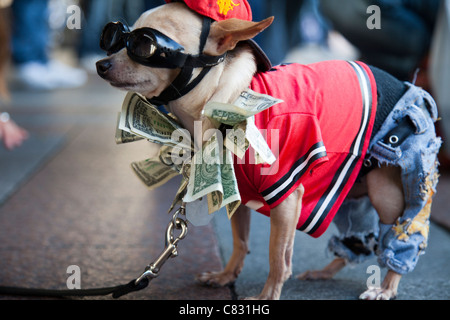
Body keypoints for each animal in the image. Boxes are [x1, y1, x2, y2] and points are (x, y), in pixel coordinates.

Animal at [96, 1, 442, 300]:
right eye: (115, 38)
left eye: (145, 45)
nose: (101, 64)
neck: (227, 101)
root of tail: (412, 89)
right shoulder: (237, 195)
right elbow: (240, 241)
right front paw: (226, 276)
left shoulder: (286, 197)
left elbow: (278, 258)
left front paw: (267, 296)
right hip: (348, 193)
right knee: (355, 240)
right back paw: (325, 272)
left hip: (388, 195)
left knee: (401, 236)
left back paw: (386, 286)